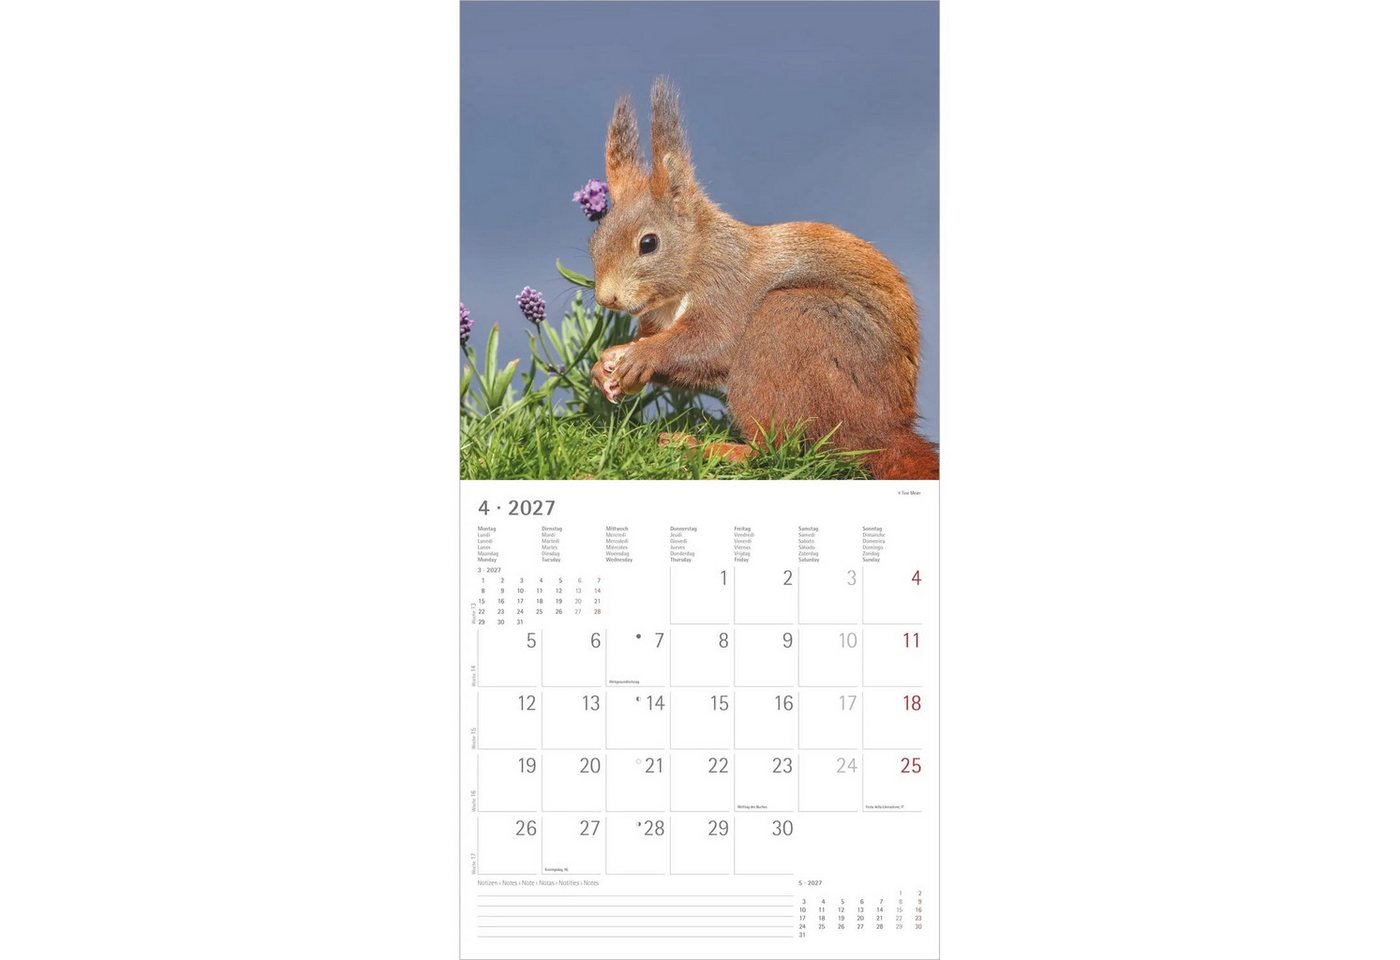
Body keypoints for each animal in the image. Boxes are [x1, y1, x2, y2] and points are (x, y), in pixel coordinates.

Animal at [588, 78, 939, 481]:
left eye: (648, 243)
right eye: (594, 240)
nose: (607, 299)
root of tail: (884, 432)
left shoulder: (728, 288)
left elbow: (712, 343)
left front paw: (642, 355)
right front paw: (606, 364)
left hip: (787, 323)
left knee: (774, 451)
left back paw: (706, 447)